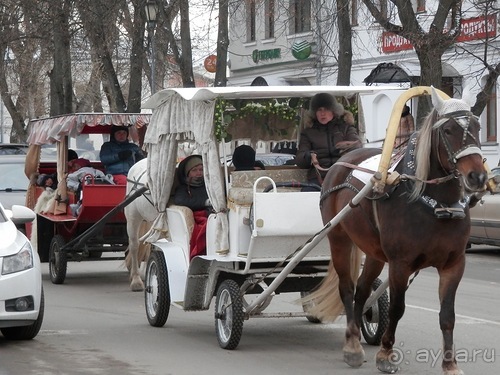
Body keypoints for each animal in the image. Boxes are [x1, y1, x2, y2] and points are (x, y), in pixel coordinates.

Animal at [308, 89, 488, 374]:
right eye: (448, 130)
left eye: (477, 126)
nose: (477, 177)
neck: (436, 204)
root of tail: (341, 163)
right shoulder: (400, 264)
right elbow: (397, 308)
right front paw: (386, 354)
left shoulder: (454, 264)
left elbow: (447, 315)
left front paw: (450, 364)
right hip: (339, 239)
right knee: (347, 288)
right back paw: (352, 345)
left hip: (374, 252)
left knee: (361, 291)